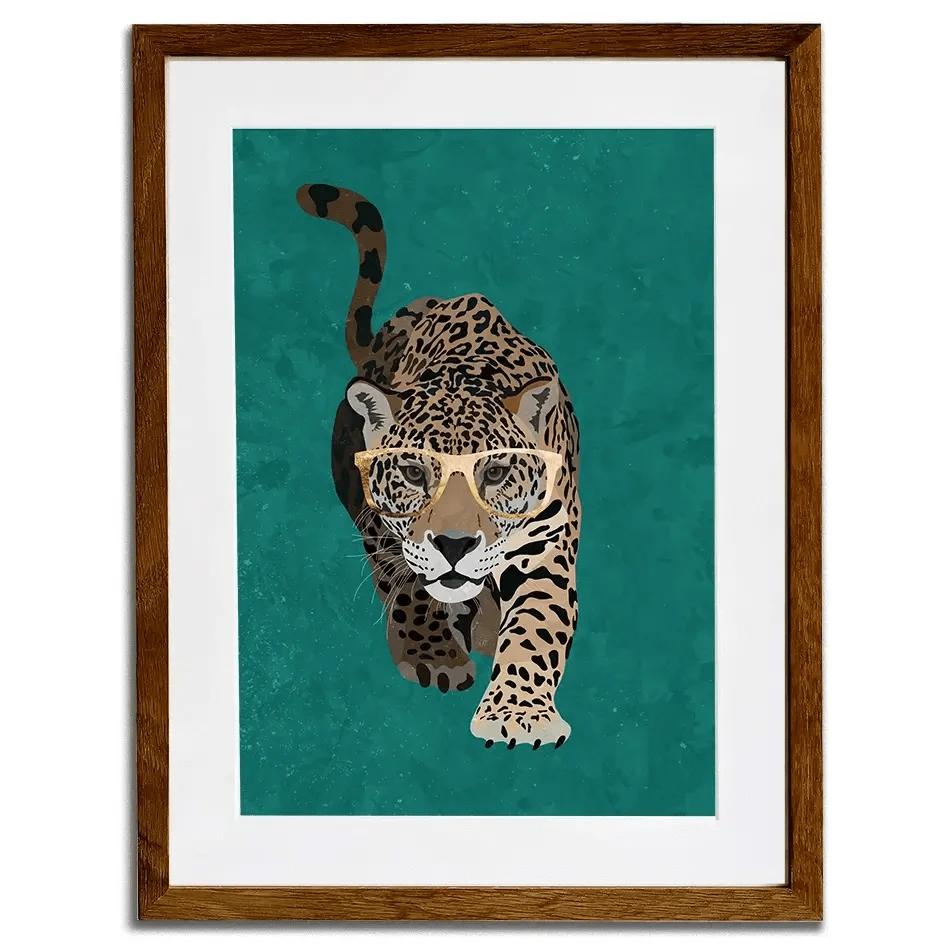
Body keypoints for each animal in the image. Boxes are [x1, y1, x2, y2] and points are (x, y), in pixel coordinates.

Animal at [296, 183, 581, 749]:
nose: (454, 545)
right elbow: (409, 584)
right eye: (413, 472)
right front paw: (434, 655)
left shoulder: (546, 544)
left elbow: (537, 624)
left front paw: (518, 714)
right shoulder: (385, 527)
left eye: (494, 472)